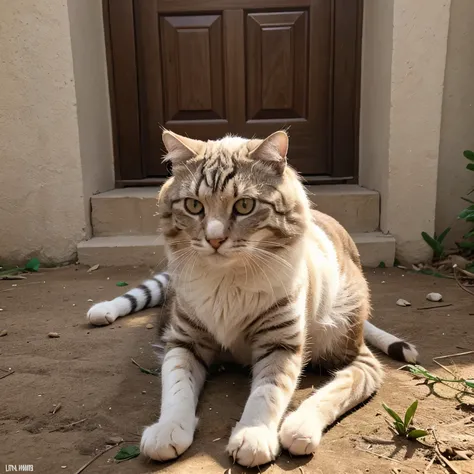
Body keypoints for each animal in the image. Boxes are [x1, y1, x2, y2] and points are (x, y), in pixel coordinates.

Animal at [87, 131, 416, 468]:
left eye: (244, 205)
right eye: (193, 205)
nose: (214, 239)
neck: (227, 279)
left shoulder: (292, 345)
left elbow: (271, 391)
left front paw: (257, 437)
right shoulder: (183, 341)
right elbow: (176, 386)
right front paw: (167, 431)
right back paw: (102, 311)